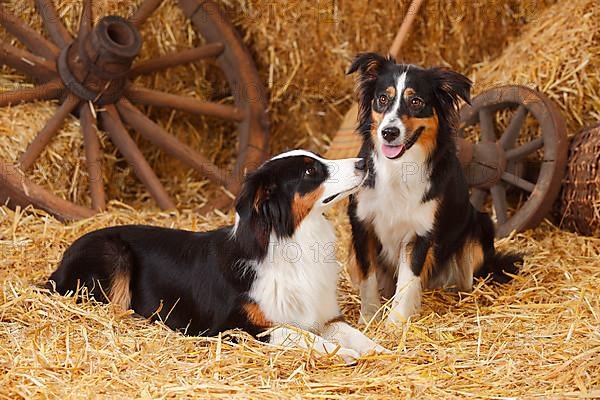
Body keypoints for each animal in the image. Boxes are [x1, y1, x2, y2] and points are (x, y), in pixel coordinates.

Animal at [48, 150, 390, 362]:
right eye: (310, 170)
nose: (364, 162)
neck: (290, 241)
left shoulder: (325, 316)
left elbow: (354, 334)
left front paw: (381, 350)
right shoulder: (234, 327)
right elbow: (296, 333)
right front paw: (338, 352)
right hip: (113, 252)